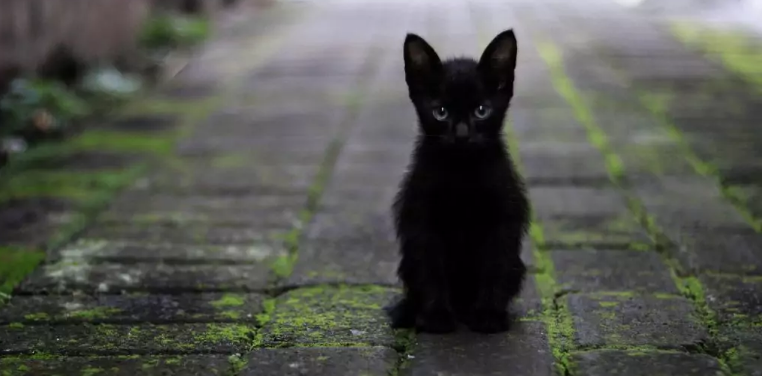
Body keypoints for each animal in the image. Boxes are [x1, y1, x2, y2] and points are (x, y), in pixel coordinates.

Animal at [386, 30, 528, 334]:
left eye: (481, 111)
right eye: (440, 112)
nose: (462, 134)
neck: (463, 173)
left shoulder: (503, 219)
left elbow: (495, 265)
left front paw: (488, 315)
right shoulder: (422, 220)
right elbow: (430, 269)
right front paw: (436, 316)